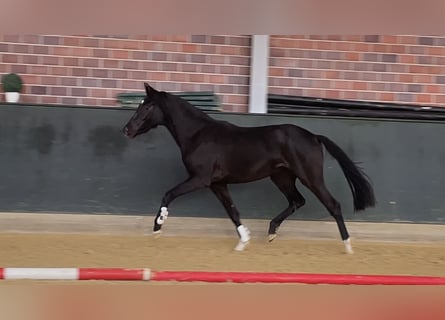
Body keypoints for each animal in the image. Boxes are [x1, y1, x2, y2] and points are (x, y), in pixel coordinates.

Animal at [122, 84, 374, 254]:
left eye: (147, 106)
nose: (126, 130)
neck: (198, 135)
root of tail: (313, 136)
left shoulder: (200, 179)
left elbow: (169, 193)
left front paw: (158, 227)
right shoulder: (218, 183)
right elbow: (233, 212)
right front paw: (243, 241)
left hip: (310, 177)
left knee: (333, 204)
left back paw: (348, 245)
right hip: (282, 177)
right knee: (297, 201)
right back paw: (271, 233)